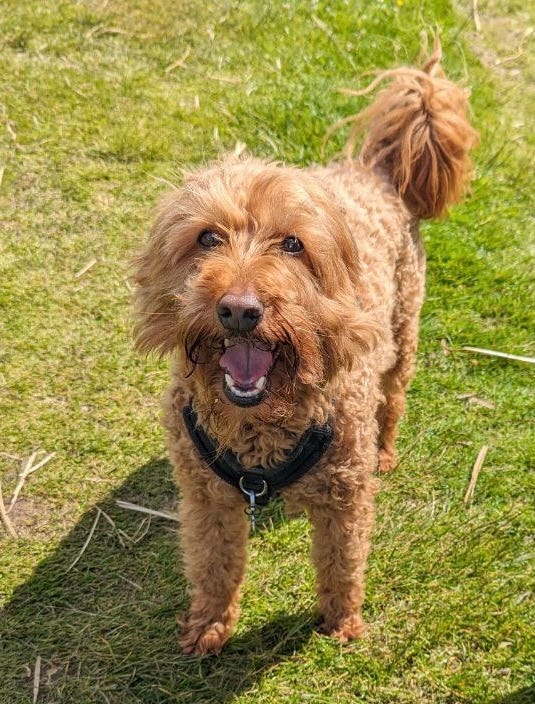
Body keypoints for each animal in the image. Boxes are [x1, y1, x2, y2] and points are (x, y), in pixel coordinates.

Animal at [133, 42, 478, 656]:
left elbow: (342, 566)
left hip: (402, 334)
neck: (260, 426)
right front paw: (209, 626)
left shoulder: (345, 501)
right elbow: (214, 567)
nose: (239, 309)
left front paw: (341, 623)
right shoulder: (206, 500)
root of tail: (374, 170)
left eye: (293, 244)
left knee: (393, 399)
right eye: (207, 237)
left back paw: (386, 450)